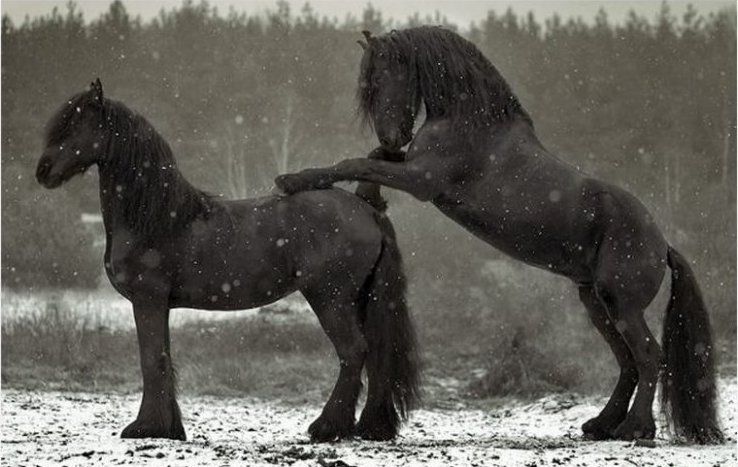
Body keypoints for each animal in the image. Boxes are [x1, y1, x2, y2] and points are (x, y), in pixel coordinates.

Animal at [37, 79, 416, 442]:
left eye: (78, 125)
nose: (43, 171)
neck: (158, 218)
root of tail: (365, 206)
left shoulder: (148, 300)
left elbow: (151, 360)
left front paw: (145, 427)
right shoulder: (160, 305)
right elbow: (164, 359)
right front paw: (170, 428)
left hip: (330, 298)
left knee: (353, 352)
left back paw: (327, 427)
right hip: (361, 299)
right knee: (376, 354)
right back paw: (369, 427)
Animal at [274, 26, 720, 446]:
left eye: (382, 78)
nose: (392, 136)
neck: (469, 122)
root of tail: (662, 244)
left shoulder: (421, 180)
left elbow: (356, 161)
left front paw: (291, 180)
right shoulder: (412, 168)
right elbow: (367, 160)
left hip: (621, 304)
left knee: (648, 357)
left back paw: (635, 428)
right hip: (596, 302)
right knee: (628, 362)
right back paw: (602, 425)